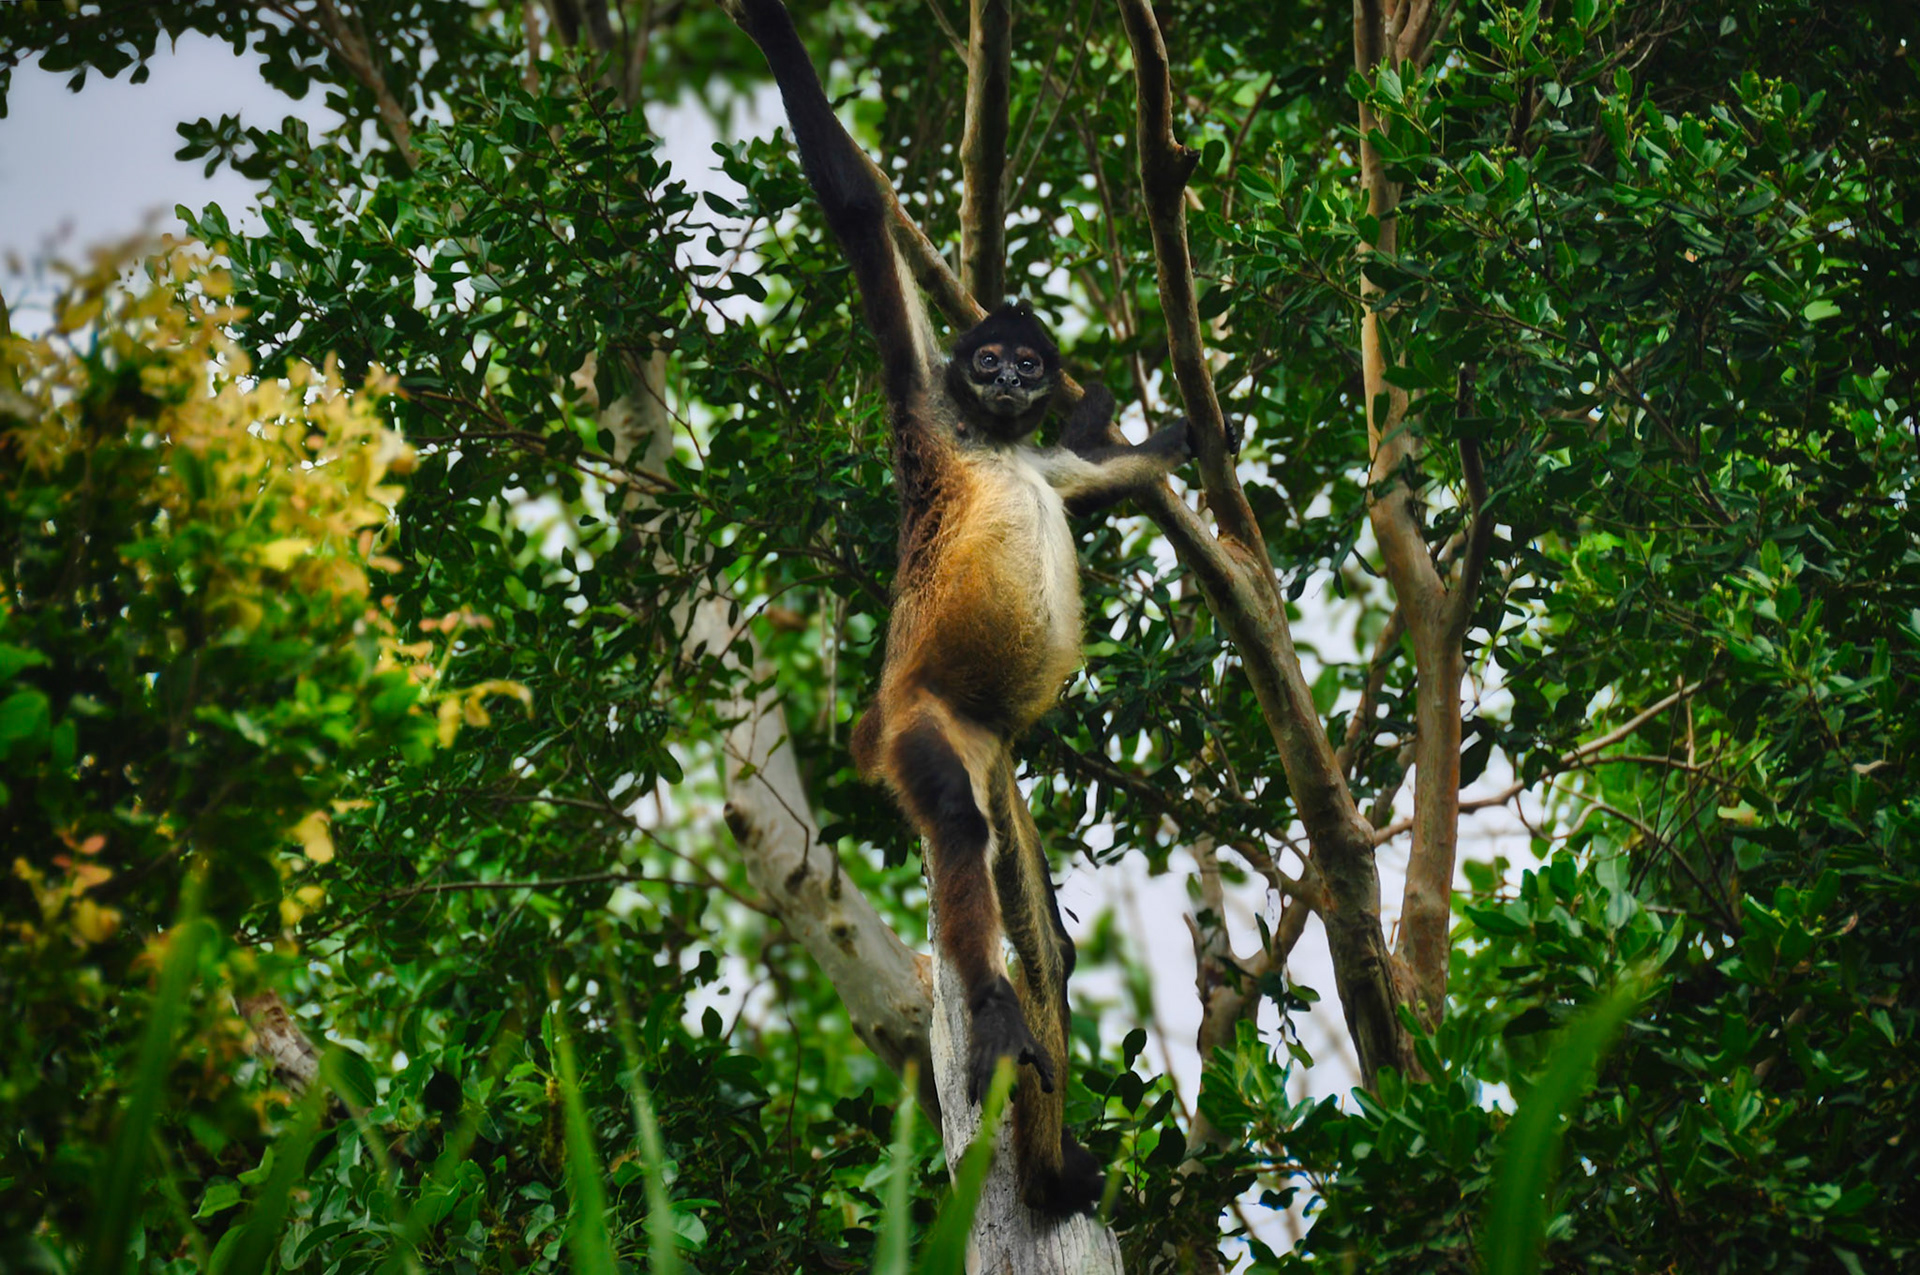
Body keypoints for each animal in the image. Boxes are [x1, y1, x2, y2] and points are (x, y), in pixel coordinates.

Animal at [724, 0, 1191, 1216]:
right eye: (992, 361)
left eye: (1027, 359)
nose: (1018, 380)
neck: (991, 441)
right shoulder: (922, 405)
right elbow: (852, 213)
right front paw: (772, 29)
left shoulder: (1045, 462)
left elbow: (1104, 473)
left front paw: (1166, 428)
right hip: (923, 726)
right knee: (956, 829)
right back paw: (989, 1015)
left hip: (990, 751)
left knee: (1039, 934)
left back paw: (1056, 1161)